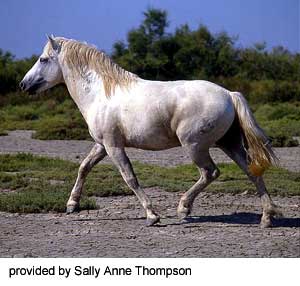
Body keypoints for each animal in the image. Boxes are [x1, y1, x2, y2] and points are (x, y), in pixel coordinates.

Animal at [19, 35, 280, 227]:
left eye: (43, 59)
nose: (23, 85)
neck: (100, 93)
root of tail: (228, 94)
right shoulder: (102, 145)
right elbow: (84, 168)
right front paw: (72, 205)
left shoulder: (114, 146)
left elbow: (130, 178)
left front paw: (152, 216)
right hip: (228, 143)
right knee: (251, 171)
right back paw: (267, 217)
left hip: (195, 146)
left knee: (210, 173)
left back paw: (183, 208)